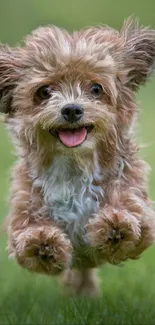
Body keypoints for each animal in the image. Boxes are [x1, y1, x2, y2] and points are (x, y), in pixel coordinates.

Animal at [0, 17, 155, 294]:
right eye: (44, 91)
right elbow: (27, 236)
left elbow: (131, 217)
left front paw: (115, 225)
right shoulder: (23, 210)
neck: (74, 164)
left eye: (96, 88)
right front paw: (44, 243)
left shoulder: (139, 208)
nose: (71, 109)